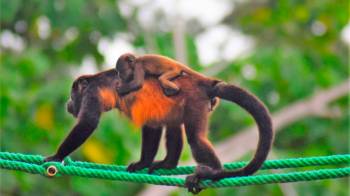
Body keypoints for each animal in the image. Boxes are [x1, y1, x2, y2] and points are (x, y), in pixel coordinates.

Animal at [44, 68, 274, 193]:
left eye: (72, 95)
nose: (67, 103)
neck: (93, 80)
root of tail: (205, 82)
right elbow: (152, 124)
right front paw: (143, 163)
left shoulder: (92, 93)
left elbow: (88, 123)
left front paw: (56, 156)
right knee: (173, 125)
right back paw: (169, 163)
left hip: (195, 101)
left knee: (195, 137)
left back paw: (214, 171)